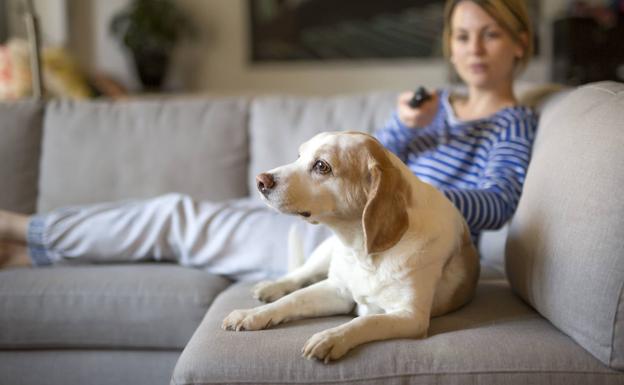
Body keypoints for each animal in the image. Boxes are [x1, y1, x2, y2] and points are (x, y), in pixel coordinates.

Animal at [222, 132, 480, 364]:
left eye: (321, 166)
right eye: (299, 155)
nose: (260, 180)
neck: (363, 253)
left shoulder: (411, 316)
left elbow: (366, 321)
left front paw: (330, 337)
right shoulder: (336, 289)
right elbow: (293, 300)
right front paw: (252, 314)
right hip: (324, 254)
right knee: (299, 275)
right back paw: (272, 287)